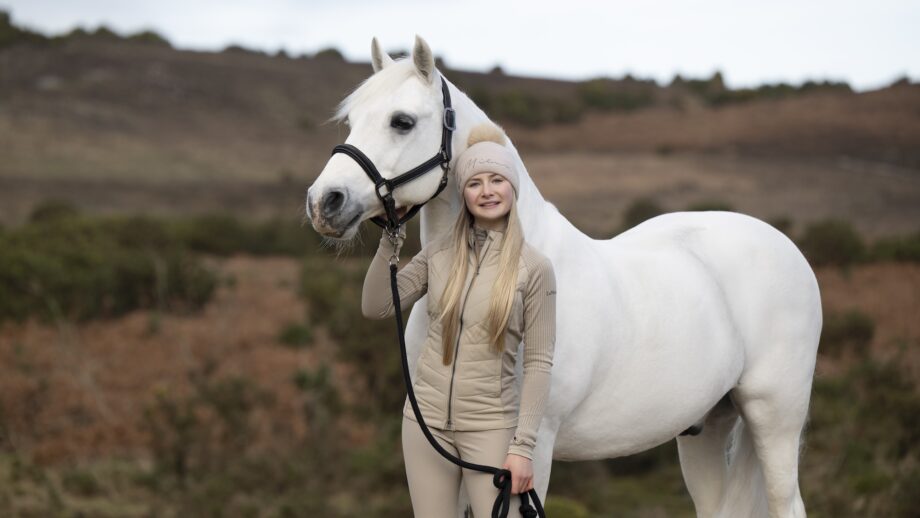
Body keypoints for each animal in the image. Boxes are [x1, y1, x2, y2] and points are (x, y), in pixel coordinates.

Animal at [306, 35, 821, 518]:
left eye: (402, 121)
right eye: (352, 121)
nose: (323, 202)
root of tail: (785, 247)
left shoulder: (530, 451)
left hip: (775, 417)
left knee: (787, 501)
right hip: (707, 427)